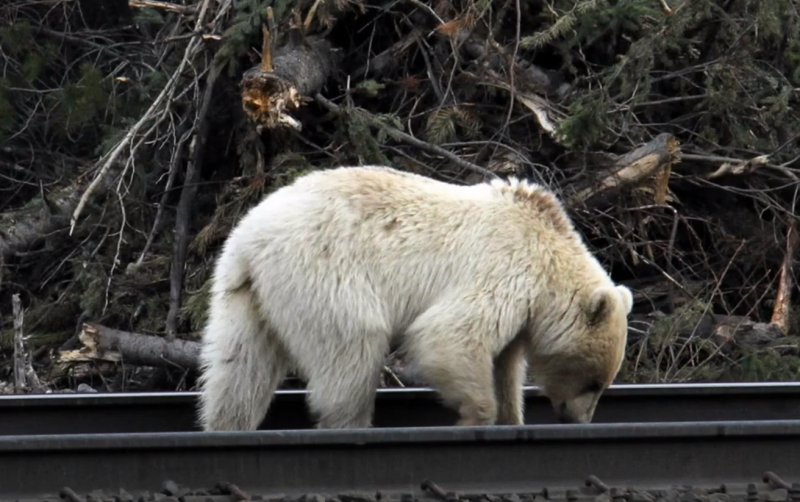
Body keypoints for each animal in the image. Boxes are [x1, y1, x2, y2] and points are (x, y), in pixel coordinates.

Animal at [198, 166, 632, 432]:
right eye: (594, 382)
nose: (578, 420)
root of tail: (251, 239)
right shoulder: (505, 268)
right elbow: (448, 335)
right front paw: (474, 417)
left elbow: (505, 364)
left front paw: (512, 418)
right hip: (324, 274)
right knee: (352, 352)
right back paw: (349, 423)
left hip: (245, 294)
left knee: (239, 368)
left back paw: (226, 424)